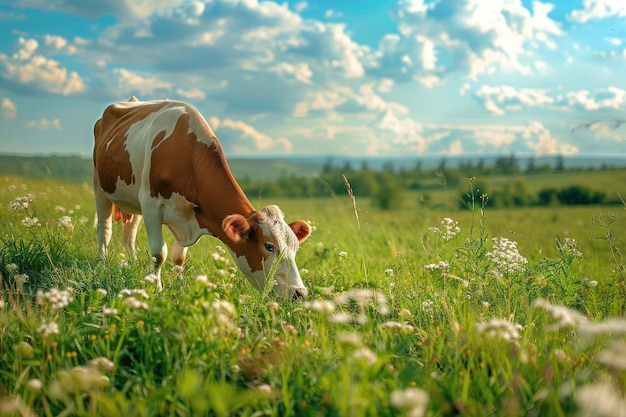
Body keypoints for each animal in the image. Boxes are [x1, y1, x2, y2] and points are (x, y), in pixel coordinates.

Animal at [91, 96, 310, 300]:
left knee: (130, 231)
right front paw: (157, 288)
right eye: (269, 246)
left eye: (296, 247)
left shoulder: (186, 215)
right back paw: (103, 263)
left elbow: (178, 257)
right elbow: (159, 254)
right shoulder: (150, 204)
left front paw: (177, 286)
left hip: (132, 197)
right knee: (104, 228)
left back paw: (132, 262)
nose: (300, 293)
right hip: (100, 186)